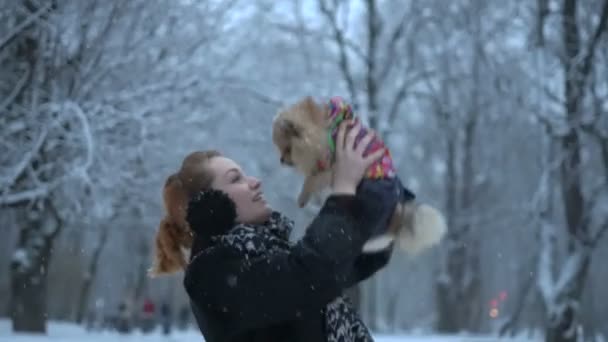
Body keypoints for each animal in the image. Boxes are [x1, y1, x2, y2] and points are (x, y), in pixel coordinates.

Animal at [270, 95, 446, 254]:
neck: (328, 127)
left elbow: (312, 179)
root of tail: (401, 212)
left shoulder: (331, 165)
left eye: (288, 149)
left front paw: (302, 197)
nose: (281, 160)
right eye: (282, 149)